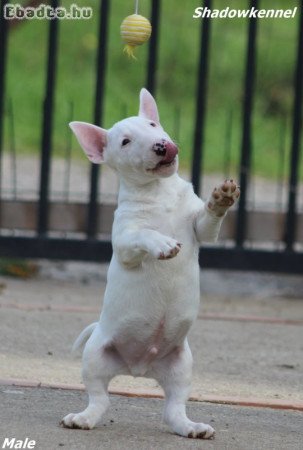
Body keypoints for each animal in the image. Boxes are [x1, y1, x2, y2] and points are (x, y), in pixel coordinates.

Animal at [61, 88, 241, 440]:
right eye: (125, 141)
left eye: (153, 124)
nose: (161, 145)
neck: (160, 192)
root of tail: (138, 368)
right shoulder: (124, 242)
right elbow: (143, 234)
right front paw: (163, 245)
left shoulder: (199, 229)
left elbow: (207, 221)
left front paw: (221, 199)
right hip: (95, 356)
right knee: (100, 398)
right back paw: (83, 418)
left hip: (181, 364)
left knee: (173, 409)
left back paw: (192, 427)